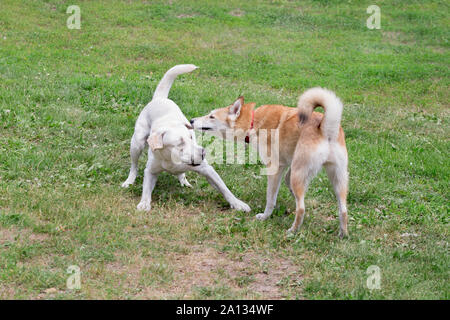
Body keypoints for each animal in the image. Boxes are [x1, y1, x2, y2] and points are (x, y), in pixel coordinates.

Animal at [121, 64, 251, 212]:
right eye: (179, 143)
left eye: (191, 137)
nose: (203, 152)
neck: (172, 160)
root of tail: (160, 98)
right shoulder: (150, 171)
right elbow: (146, 188)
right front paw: (144, 203)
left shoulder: (207, 169)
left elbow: (224, 188)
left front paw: (237, 203)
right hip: (137, 143)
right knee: (134, 166)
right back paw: (129, 181)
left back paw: (184, 181)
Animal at [190, 87, 348, 238]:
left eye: (211, 116)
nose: (191, 120)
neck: (252, 122)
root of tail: (325, 128)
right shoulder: (286, 167)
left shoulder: (274, 169)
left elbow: (270, 199)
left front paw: (265, 216)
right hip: (336, 179)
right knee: (343, 210)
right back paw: (343, 234)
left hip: (299, 175)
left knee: (302, 209)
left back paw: (292, 231)